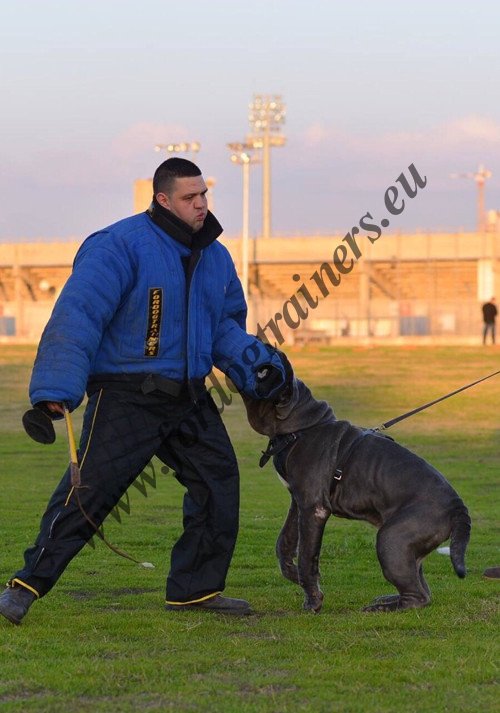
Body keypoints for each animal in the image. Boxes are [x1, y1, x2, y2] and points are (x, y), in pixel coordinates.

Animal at [240, 356, 470, 612]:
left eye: (263, 372)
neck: (300, 427)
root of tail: (457, 507)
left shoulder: (314, 508)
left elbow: (308, 555)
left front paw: (313, 601)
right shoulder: (298, 502)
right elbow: (285, 543)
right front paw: (293, 573)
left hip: (392, 539)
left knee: (417, 596)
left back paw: (382, 608)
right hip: (408, 547)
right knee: (421, 589)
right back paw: (387, 599)